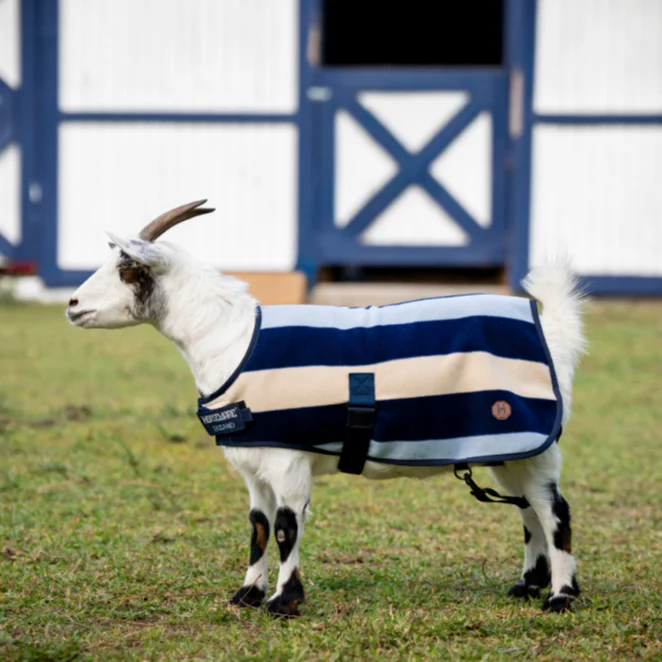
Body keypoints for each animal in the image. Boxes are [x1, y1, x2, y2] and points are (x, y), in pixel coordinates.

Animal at [67, 200, 585, 617]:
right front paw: (247, 594)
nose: (71, 304)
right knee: (528, 511)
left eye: (127, 269)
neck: (233, 340)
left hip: (534, 446)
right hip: (508, 450)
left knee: (553, 510)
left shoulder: (287, 459)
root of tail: (553, 334)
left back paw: (560, 596)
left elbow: (285, 527)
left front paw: (284, 602)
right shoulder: (254, 464)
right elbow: (257, 527)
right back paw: (528, 584)